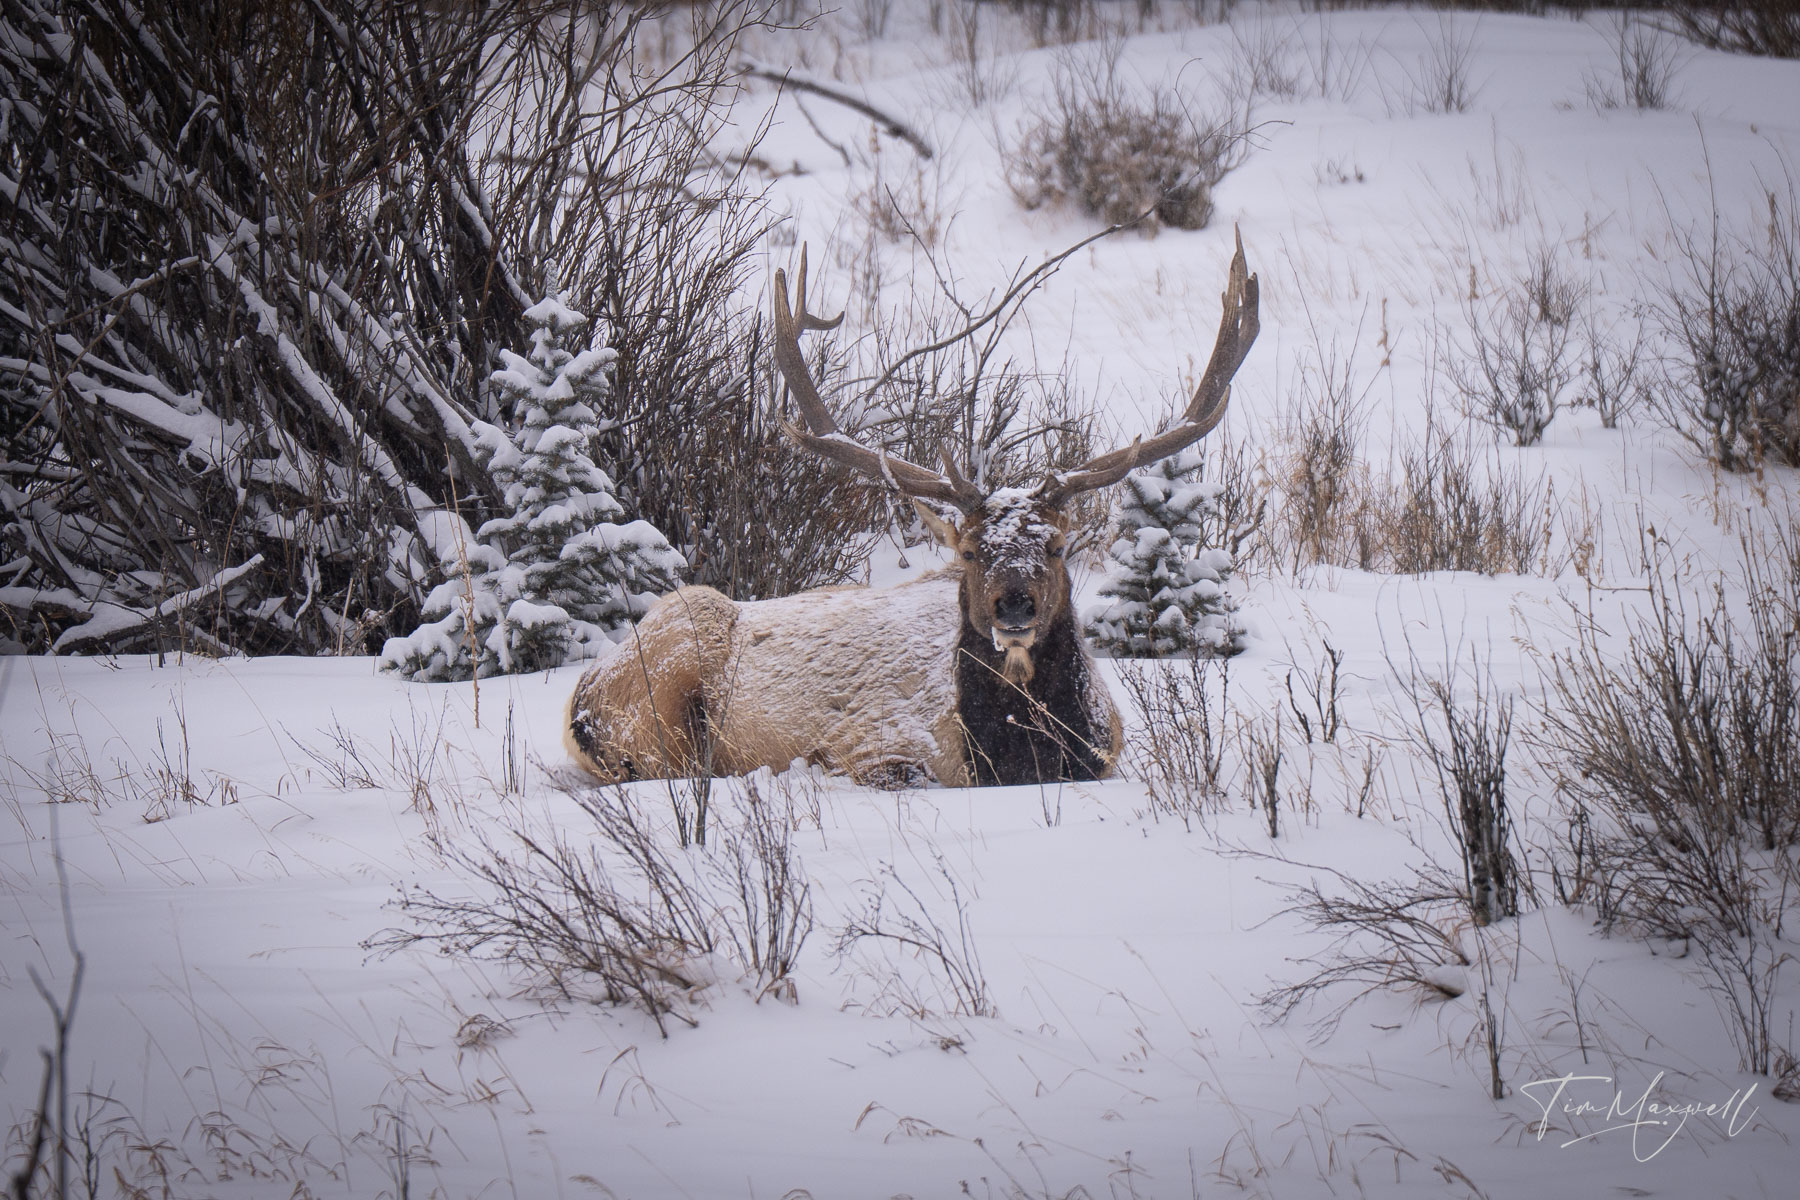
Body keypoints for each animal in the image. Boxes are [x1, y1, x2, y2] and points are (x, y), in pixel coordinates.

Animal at [565, 236, 1259, 789]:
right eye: (971, 551)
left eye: (1057, 546)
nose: (1014, 605)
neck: (1015, 755)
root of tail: (583, 698)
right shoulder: (878, 744)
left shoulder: (1107, 749)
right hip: (671, 672)